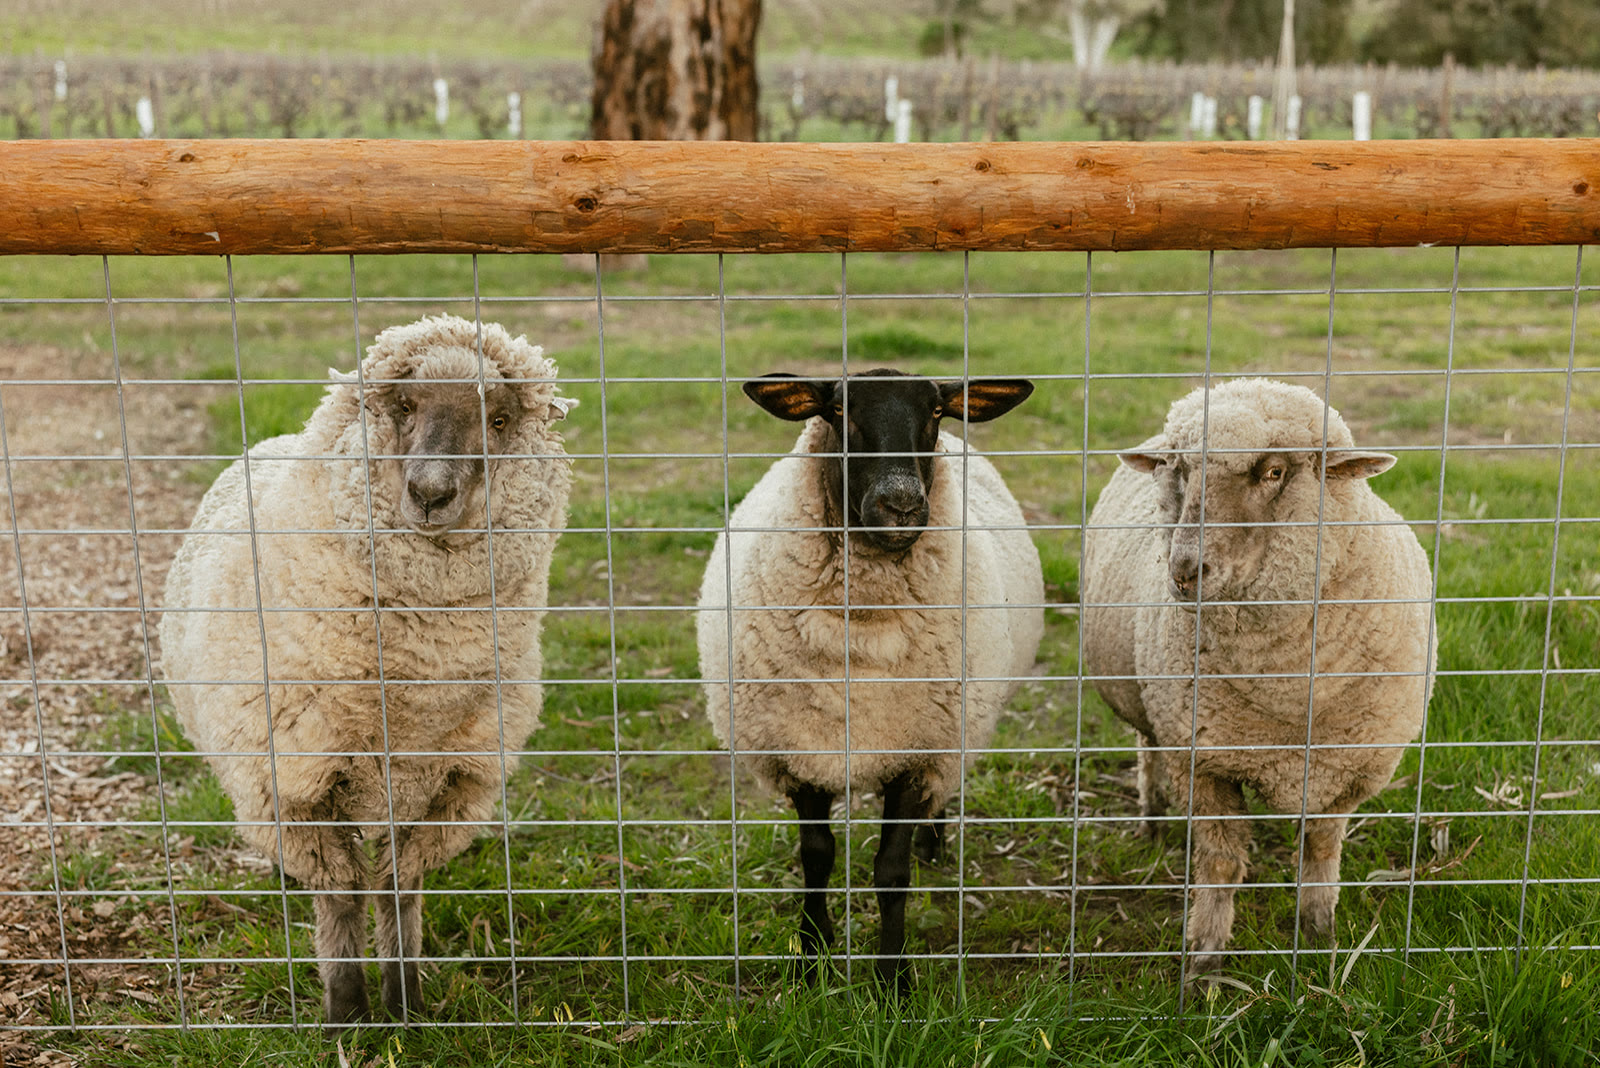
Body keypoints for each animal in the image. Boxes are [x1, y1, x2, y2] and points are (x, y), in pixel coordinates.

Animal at [159, 314, 574, 1026]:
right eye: (404, 407)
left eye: (498, 419)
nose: (431, 494)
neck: (411, 693)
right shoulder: (292, 786)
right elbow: (340, 890)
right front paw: (346, 1011)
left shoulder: (446, 783)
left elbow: (397, 888)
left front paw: (404, 1002)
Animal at [696, 369, 1044, 991]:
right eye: (838, 411)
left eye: (936, 411)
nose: (900, 504)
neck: (864, 633)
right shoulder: (802, 751)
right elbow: (816, 856)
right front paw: (812, 955)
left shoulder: (917, 752)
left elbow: (891, 871)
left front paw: (893, 980)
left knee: (938, 801)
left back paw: (934, 843)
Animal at [1081, 377, 1435, 977]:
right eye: (1179, 470)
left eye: (1273, 472)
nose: (1184, 570)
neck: (1287, 691)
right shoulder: (1202, 760)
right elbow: (1222, 864)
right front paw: (1204, 962)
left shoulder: (1347, 768)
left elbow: (1321, 850)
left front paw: (1319, 937)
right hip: (1151, 705)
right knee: (1146, 743)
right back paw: (1151, 816)